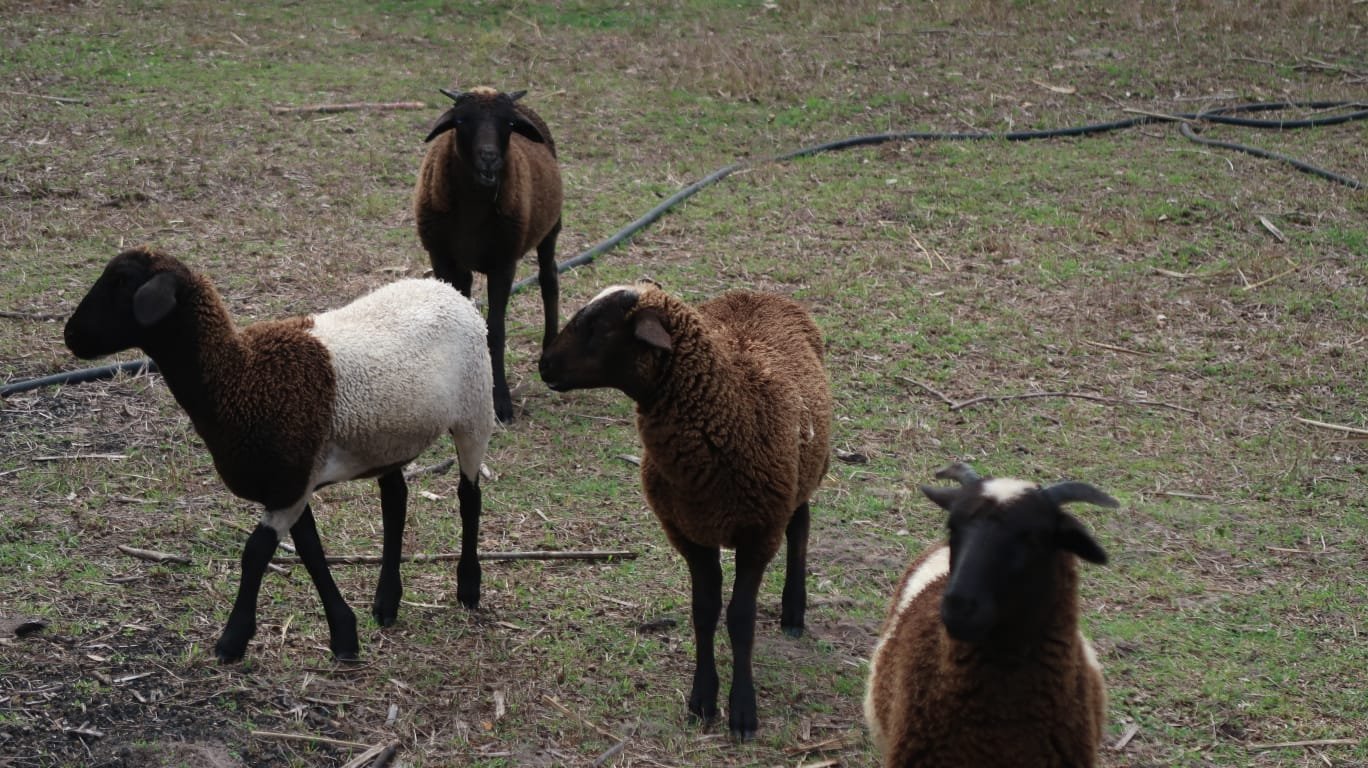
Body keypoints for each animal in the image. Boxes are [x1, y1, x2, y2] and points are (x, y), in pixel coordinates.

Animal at [63, 247, 495, 663]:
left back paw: (468, 587)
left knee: (468, 495)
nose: (71, 336)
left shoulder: (291, 482)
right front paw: (344, 634)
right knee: (395, 501)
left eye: (121, 281)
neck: (240, 378)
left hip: (475, 408)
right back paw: (386, 602)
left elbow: (256, 552)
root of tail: (445, 289)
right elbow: (310, 551)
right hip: (389, 437)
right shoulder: (289, 482)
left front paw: (233, 640)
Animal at [415, 85, 564, 424]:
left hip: (550, 229)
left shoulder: (503, 264)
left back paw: (549, 349)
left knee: (549, 278)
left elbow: (495, 330)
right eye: (460, 121)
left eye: (508, 124)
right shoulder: (442, 258)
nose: (489, 158)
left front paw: (501, 402)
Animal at [538, 281, 832, 739]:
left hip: (804, 471)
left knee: (800, 525)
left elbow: (741, 618)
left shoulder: (758, 532)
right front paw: (702, 699)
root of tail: (754, 293)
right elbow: (704, 611)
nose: (544, 364)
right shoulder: (688, 533)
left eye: (600, 328)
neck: (730, 411)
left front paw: (743, 712)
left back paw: (793, 612)